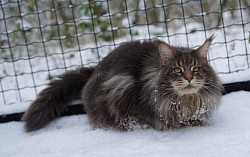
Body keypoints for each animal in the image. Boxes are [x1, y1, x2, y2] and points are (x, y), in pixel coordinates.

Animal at [22, 35, 224, 131]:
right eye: (177, 70)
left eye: (196, 69)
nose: (189, 78)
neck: (186, 102)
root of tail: (94, 71)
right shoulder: (124, 97)